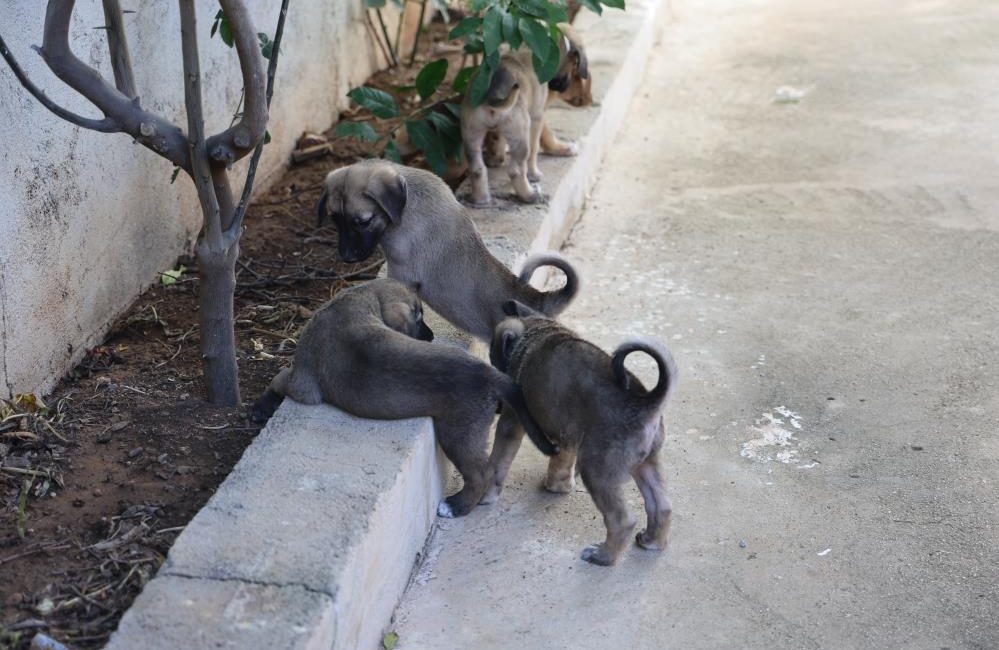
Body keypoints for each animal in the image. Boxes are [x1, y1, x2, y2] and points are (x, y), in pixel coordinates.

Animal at [250, 278, 560, 516]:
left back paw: (456, 507)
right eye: (419, 316)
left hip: (458, 432)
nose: (431, 335)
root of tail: (488, 372)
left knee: (480, 474)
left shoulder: (303, 384)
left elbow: (279, 378)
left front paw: (261, 407)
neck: (357, 299)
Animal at [316, 158, 584, 340]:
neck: (407, 203)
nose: (346, 258)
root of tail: (541, 300)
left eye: (363, 221)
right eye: (335, 219)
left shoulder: (401, 273)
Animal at [462, 22, 588, 205]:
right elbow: (536, 147)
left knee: (477, 169)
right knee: (516, 169)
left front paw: (496, 159)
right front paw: (534, 173)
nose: (562, 86)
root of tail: (492, 95)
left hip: (471, 134)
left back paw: (481, 199)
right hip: (520, 135)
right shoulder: (537, 116)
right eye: (575, 64)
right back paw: (529, 195)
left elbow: (497, 141)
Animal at [490, 302, 680, 564]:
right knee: (662, 506)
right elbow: (560, 464)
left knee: (621, 520)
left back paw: (603, 556)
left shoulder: (511, 421)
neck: (535, 333)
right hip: (646, 464)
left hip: (596, 470)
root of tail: (646, 404)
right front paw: (557, 486)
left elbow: (497, 461)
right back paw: (652, 541)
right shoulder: (567, 437)